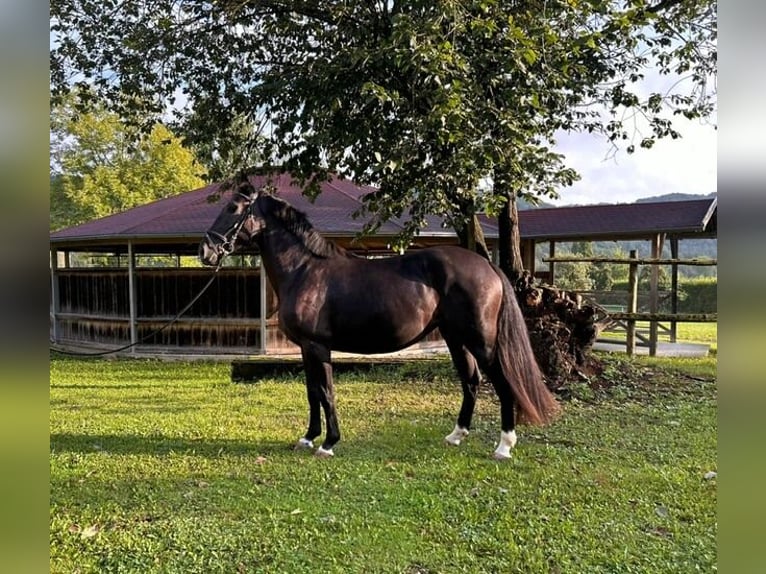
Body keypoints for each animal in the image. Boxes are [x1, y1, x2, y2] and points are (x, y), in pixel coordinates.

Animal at [198, 182, 560, 462]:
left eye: (233, 207)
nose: (206, 252)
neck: (304, 270)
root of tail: (487, 266)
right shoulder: (305, 348)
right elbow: (312, 392)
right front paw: (308, 438)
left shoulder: (318, 346)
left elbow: (326, 392)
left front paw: (328, 444)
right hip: (456, 338)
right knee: (471, 381)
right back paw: (456, 436)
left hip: (481, 341)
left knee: (501, 382)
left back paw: (504, 446)